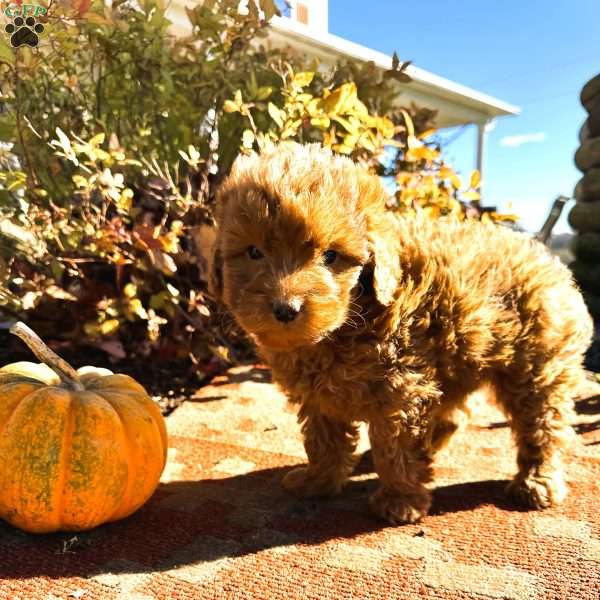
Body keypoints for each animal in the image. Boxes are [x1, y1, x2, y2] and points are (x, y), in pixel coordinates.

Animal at [209, 142, 592, 524]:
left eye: (330, 256)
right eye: (254, 252)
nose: (286, 309)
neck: (350, 321)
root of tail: (546, 258)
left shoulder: (402, 388)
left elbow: (397, 449)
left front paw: (400, 500)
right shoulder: (321, 396)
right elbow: (324, 440)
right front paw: (318, 480)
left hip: (537, 368)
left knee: (542, 425)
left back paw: (537, 482)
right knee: (455, 414)